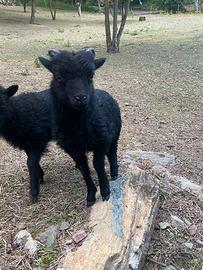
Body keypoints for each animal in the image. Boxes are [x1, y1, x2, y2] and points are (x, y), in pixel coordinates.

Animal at [39, 48, 121, 206]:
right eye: (59, 77)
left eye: (91, 75)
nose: (81, 98)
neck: (77, 127)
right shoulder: (73, 149)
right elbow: (84, 169)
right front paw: (90, 195)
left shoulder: (101, 142)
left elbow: (98, 165)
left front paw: (105, 191)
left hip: (115, 134)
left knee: (112, 152)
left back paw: (114, 173)